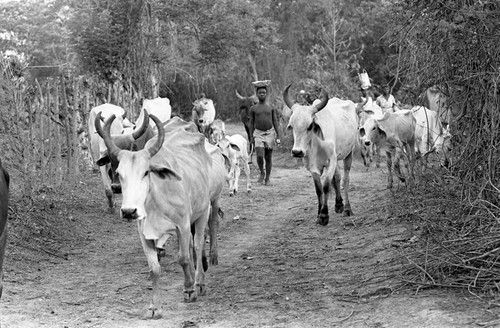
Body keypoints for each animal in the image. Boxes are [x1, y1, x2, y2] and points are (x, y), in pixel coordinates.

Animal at [96, 111, 214, 318]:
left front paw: (189, 289)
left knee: (198, 246)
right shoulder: (144, 233)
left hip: (203, 212)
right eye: (119, 172)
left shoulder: (183, 225)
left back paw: (199, 282)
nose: (128, 211)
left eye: (146, 172)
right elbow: (154, 269)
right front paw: (154, 307)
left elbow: (183, 258)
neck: (154, 202)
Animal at [284, 84, 358, 226]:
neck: (316, 144)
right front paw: (319, 215)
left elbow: (326, 186)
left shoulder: (331, 161)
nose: (297, 152)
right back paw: (339, 205)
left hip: (348, 153)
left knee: (345, 179)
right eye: (292, 126)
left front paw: (324, 215)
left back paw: (347, 208)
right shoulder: (312, 166)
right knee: (338, 177)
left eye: (310, 126)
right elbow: (318, 190)